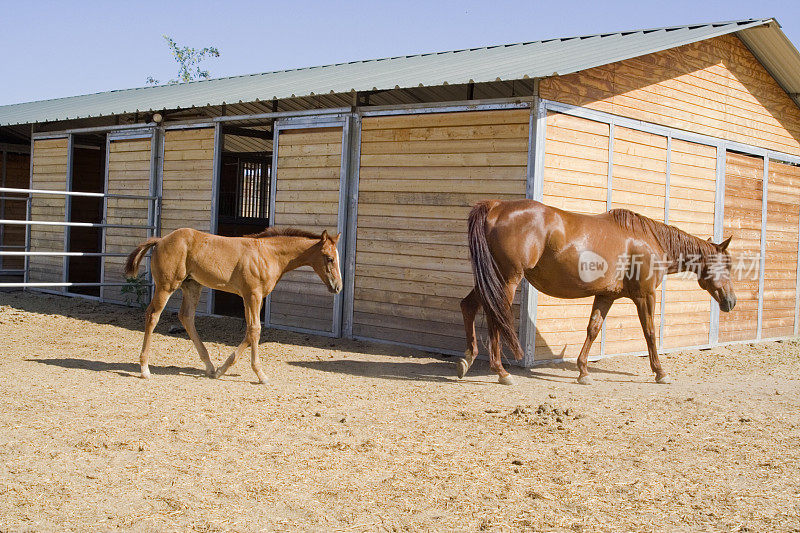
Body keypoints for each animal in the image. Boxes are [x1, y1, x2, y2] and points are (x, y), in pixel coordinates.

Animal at [125, 228, 340, 382]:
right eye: (329, 258)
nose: (338, 286)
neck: (268, 254)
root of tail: (160, 240)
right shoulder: (252, 295)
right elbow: (254, 330)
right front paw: (260, 375)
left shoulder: (256, 298)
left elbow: (250, 332)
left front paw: (221, 370)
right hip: (167, 286)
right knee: (153, 315)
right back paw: (144, 369)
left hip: (192, 285)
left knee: (186, 317)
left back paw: (209, 366)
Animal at [460, 197, 736, 384]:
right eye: (727, 265)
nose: (731, 301)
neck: (649, 240)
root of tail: (496, 206)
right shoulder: (645, 295)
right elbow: (649, 332)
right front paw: (660, 372)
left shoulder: (606, 295)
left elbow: (593, 329)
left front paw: (583, 371)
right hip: (506, 280)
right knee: (495, 316)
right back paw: (501, 371)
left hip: (490, 280)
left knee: (468, 305)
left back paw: (467, 359)